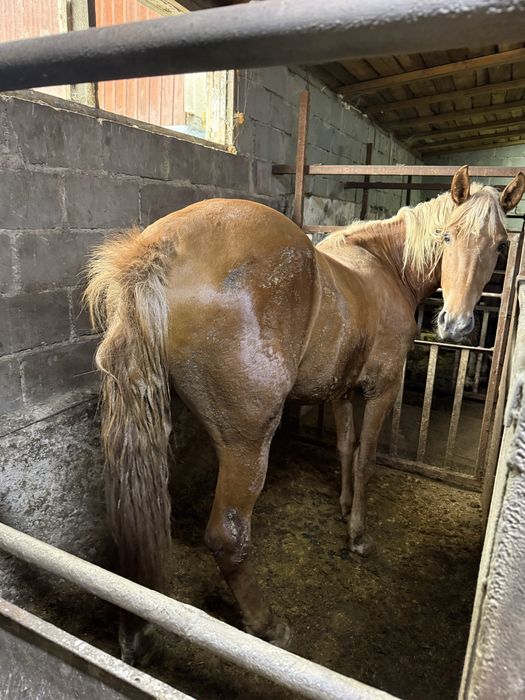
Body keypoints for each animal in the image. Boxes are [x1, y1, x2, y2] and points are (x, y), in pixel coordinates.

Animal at [86, 165, 524, 663]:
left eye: (501, 246)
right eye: (445, 236)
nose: (457, 325)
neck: (384, 268)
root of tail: (158, 249)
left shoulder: (340, 391)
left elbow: (345, 448)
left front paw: (345, 506)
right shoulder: (380, 390)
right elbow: (366, 457)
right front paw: (358, 534)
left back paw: (135, 632)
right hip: (247, 443)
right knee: (228, 536)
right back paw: (267, 624)